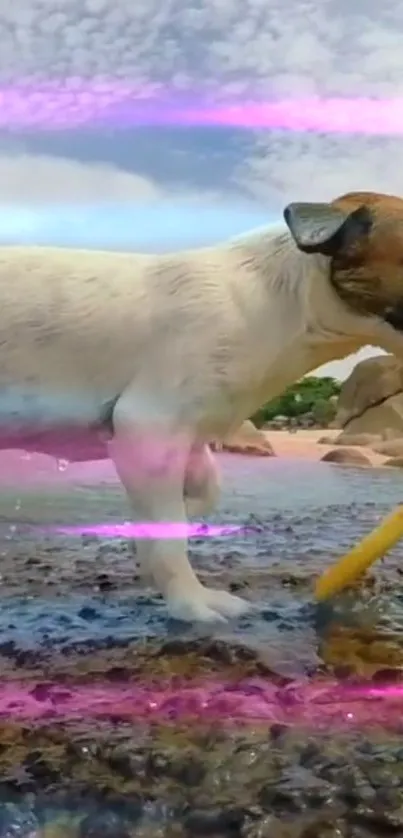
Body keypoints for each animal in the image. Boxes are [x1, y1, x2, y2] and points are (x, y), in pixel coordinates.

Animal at [0, 190, 403, 624]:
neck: (286, 297)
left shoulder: (188, 431)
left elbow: (202, 492)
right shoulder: (150, 425)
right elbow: (169, 540)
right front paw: (191, 605)